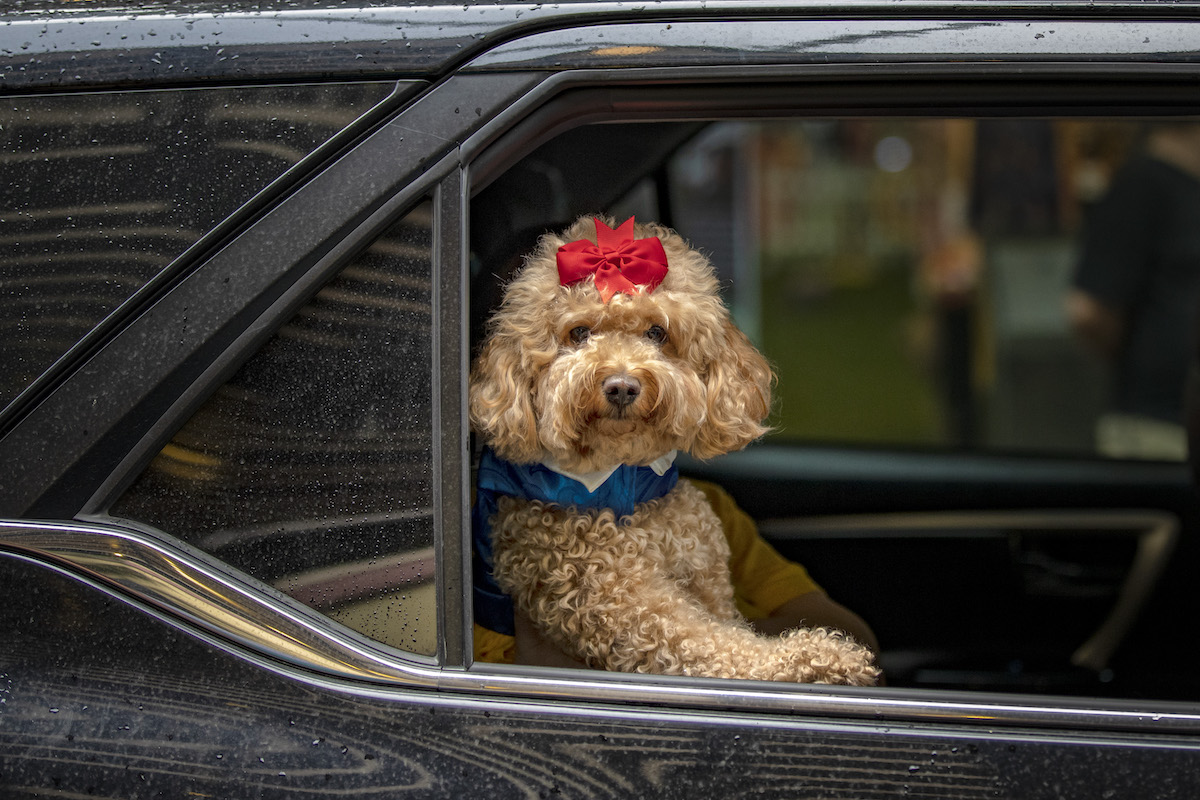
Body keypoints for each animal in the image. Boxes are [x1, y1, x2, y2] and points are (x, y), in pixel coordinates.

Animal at [472, 215, 878, 686]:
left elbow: (726, 628)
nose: (622, 386)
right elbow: (712, 646)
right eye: (579, 332)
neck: (626, 477)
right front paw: (816, 656)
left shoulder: (709, 582)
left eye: (657, 332)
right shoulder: (617, 600)